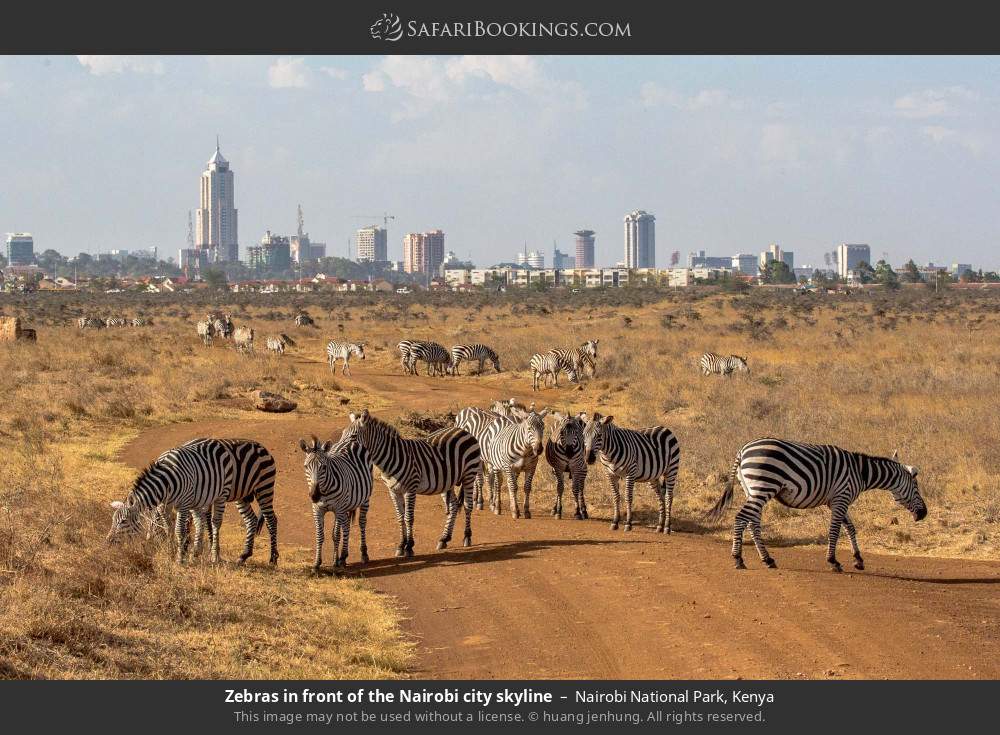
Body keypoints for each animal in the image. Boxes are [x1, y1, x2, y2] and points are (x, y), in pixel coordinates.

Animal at [108, 440, 280, 568]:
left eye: (123, 521)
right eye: (113, 520)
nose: (107, 542)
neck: (165, 481)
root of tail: (262, 447)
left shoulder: (184, 504)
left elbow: (180, 529)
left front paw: (180, 557)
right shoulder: (165, 506)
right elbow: (169, 527)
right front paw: (172, 551)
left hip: (261, 488)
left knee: (269, 520)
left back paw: (271, 559)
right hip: (241, 495)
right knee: (250, 520)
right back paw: (243, 555)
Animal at [300, 436, 376, 568]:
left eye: (324, 467)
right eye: (306, 467)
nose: (314, 496)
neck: (325, 491)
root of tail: (351, 441)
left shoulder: (338, 509)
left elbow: (336, 535)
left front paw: (336, 561)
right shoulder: (317, 510)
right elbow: (320, 535)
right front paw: (317, 563)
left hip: (365, 499)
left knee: (361, 522)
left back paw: (363, 554)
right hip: (346, 505)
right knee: (346, 525)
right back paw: (343, 556)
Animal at [338, 408, 482, 556]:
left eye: (353, 436)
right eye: (342, 434)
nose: (337, 450)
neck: (392, 457)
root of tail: (462, 431)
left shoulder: (410, 488)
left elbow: (409, 517)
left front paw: (409, 546)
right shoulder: (393, 491)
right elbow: (400, 517)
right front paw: (401, 545)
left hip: (469, 475)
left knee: (467, 505)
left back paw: (467, 537)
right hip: (448, 482)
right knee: (453, 506)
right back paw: (444, 539)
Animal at [704, 440, 928, 572]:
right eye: (916, 487)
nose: (924, 514)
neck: (861, 473)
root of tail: (742, 450)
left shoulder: (836, 500)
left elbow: (850, 528)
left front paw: (858, 559)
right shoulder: (841, 498)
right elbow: (835, 530)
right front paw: (833, 561)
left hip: (752, 490)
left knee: (753, 523)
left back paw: (767, 559)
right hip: (763, 486)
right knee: (742, 518)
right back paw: (738, 559)